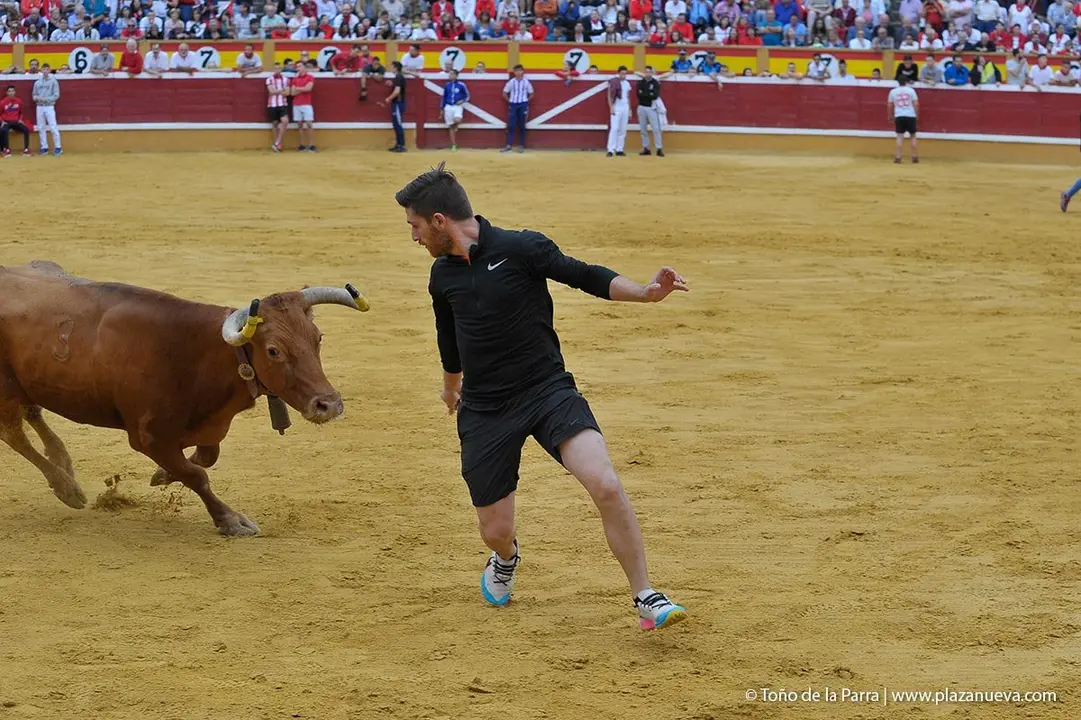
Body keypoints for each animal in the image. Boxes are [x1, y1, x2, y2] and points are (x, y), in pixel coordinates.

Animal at [0, 260, 369, 537]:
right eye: (273, 350)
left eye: (317, 337)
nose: (328, 404)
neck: (193, 353)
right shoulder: (147, 438)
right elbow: (197, 475)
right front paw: (231, 520)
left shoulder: (208, 426)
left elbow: (205, 458)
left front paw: (163, 475)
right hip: (6, 391)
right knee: (14, 435)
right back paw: (66, 488)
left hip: (31, 383)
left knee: (34, 414)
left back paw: (64, 464)